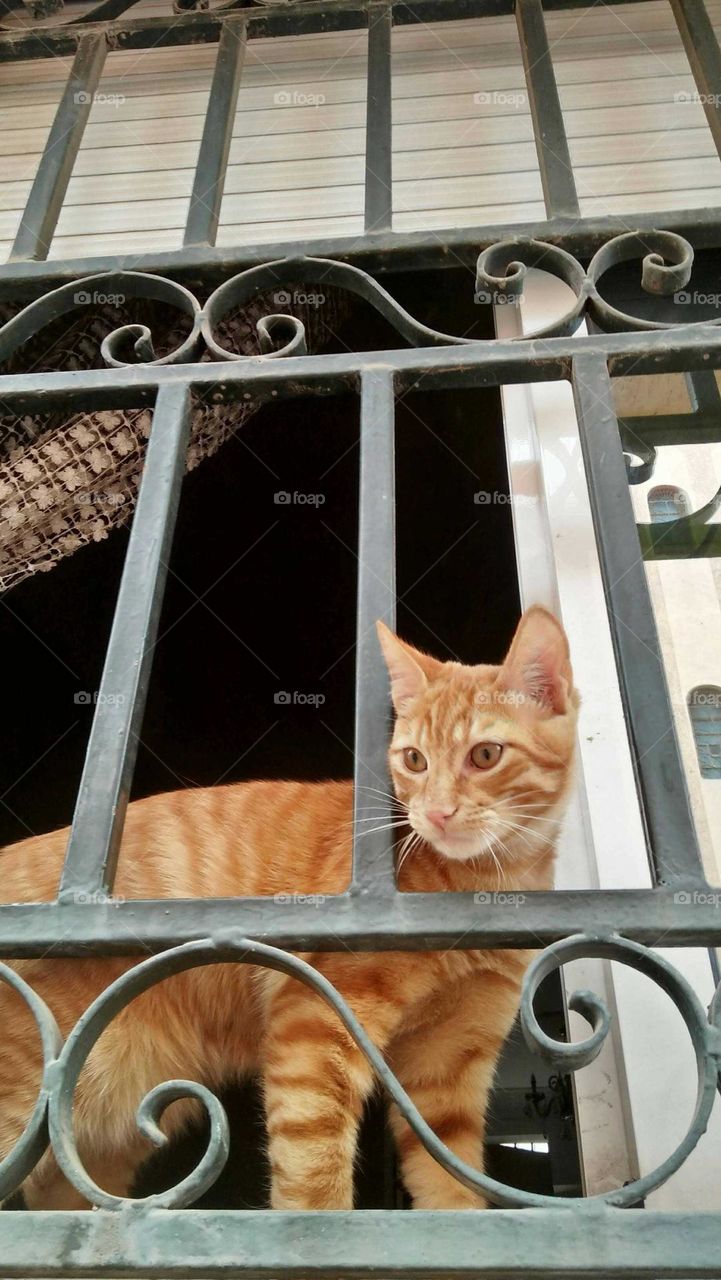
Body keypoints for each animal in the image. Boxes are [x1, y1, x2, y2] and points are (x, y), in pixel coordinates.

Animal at [0, 606, 576, 1208]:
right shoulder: (312, 1026)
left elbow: (453, 1184)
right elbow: (313, 1182)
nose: (436, 813)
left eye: (485, 755)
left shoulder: (446, 1070)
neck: (485, 882)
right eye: (414, 760)